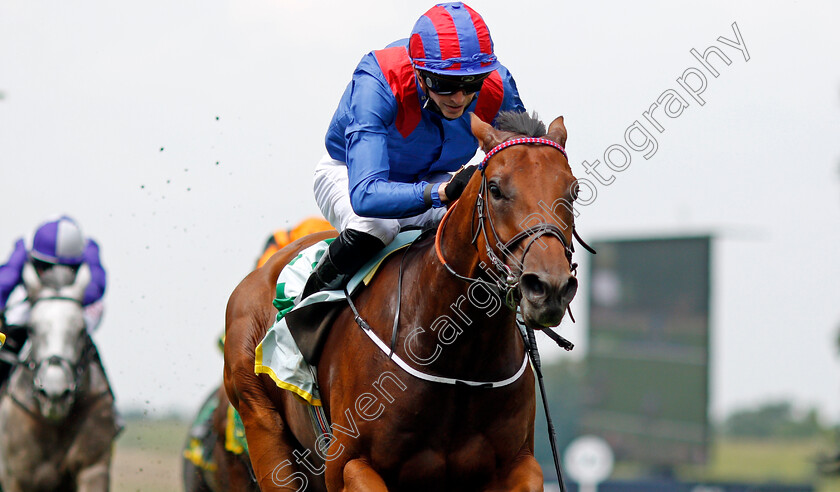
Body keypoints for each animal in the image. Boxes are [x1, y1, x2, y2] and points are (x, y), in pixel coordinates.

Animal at [225, 113, 584, 490]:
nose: (549, 286)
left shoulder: (517, 464)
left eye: (574, 190)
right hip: (264, 430)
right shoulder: (349, 464)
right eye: (496, 189)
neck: (456, 357)